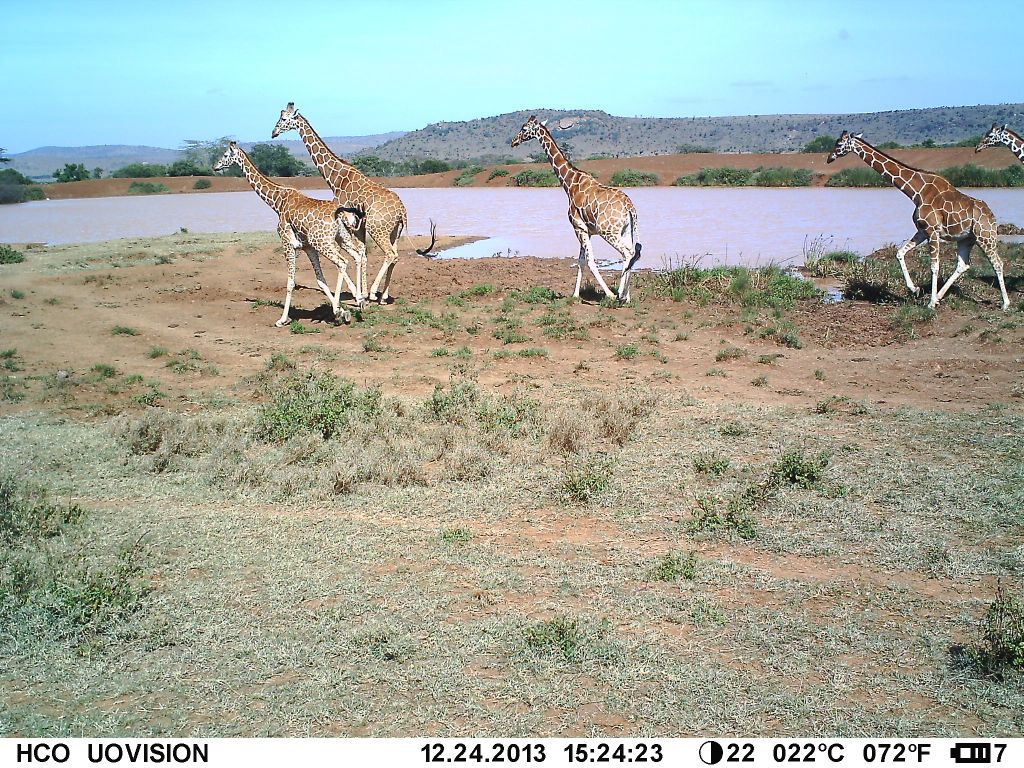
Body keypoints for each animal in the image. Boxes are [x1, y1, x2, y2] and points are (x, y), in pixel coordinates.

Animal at [213, 142, 365, 327]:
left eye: (226, 155)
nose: (215, 166)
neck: (277, 202)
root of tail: (341, 214)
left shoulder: (287, 243)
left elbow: (291, 283)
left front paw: (282, 319)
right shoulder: (307, 247)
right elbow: (320, 281)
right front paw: (342, 309)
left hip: (323, 242)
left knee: (342, 262)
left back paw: (343, 309)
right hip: (341, 238)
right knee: (357, 256)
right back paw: (358, 302)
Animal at [272, 103, 420, 304]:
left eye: (284, 119)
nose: (274, 132)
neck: (337, 178)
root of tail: (402, 211)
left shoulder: (350, 221)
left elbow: (357, 253)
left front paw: (361, 294)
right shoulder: (358, 225)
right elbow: (363, 253)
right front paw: (361, 293)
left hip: (377, 228)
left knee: (391, 254)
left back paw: (374, 292)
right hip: (394, 232)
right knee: (394, 255)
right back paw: (383, 296)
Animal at [510, 116, 641, 303]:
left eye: (524, 128)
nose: (513, 142)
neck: (570, 184)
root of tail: (630, 207)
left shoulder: (579, 227)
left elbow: (590, 261)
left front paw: (609, 294)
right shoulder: (585, 230)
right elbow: (581, 261)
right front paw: (575, 295)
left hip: (609, 232)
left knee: (628, 253)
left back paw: (619, 295)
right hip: (626, 231)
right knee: (630, 255)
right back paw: (626, 296)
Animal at [827, 131, 1009, 310]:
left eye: (838, 143)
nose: (829, 158)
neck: (917, 192)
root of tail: (992, 216)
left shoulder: (932, 231)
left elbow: (934, 266)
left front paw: (930, 303)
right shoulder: (922, 230)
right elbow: (899, 253)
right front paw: (915, 289)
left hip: (985, 237)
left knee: (998, 263)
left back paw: (1005, 303)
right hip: (966, 239)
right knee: (963, 265)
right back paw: (940, 296)